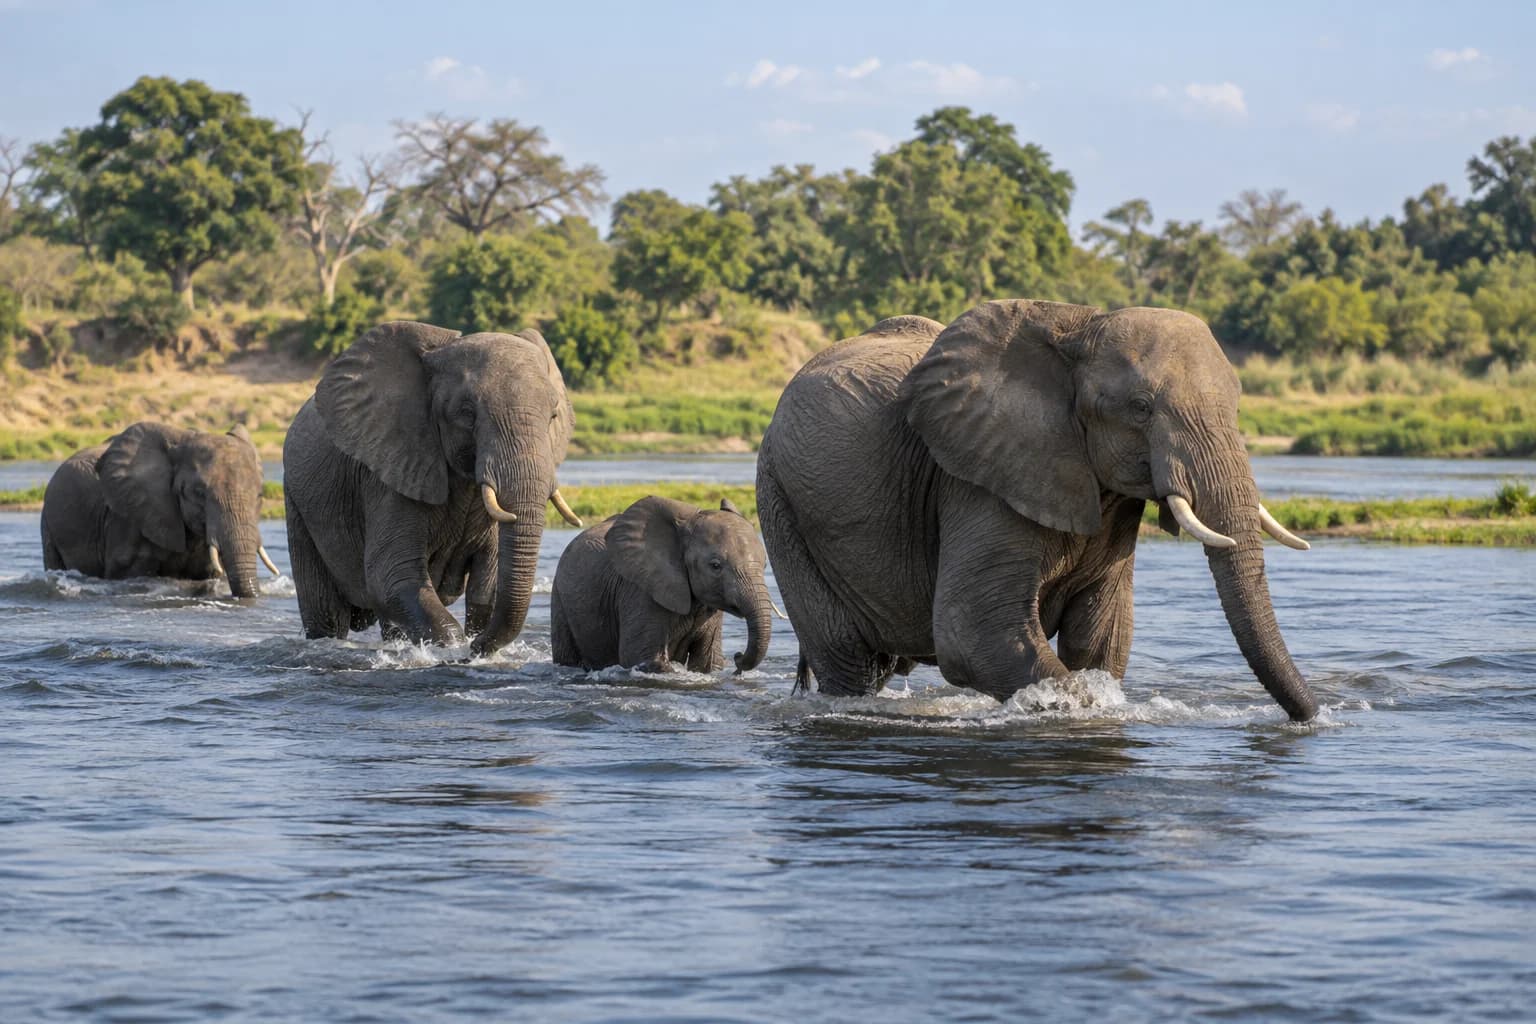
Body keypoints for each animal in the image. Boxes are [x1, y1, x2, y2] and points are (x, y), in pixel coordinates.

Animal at [282, 320, 583, 655]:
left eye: (553, 416)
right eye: (466, 413)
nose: (478, 646)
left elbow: (487, 582)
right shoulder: (388, 473)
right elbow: (391, 576)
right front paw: (456, 649)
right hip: (297, 502)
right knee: (327, 614)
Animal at [550, 496, 774, 674]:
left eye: (764, 565)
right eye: (715, 566)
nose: (737, 657)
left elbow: (707, 661)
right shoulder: (638, 589)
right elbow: (641, 657)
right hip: (560, 598)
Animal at [756, 301, 1318, 722]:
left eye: (1238, 407)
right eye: (1140, 408)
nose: (1309, 718)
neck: (1081, 327)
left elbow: (1101, 637)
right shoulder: (976, 479)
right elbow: (972, 632)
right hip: (778, 498)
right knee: (847, 659)